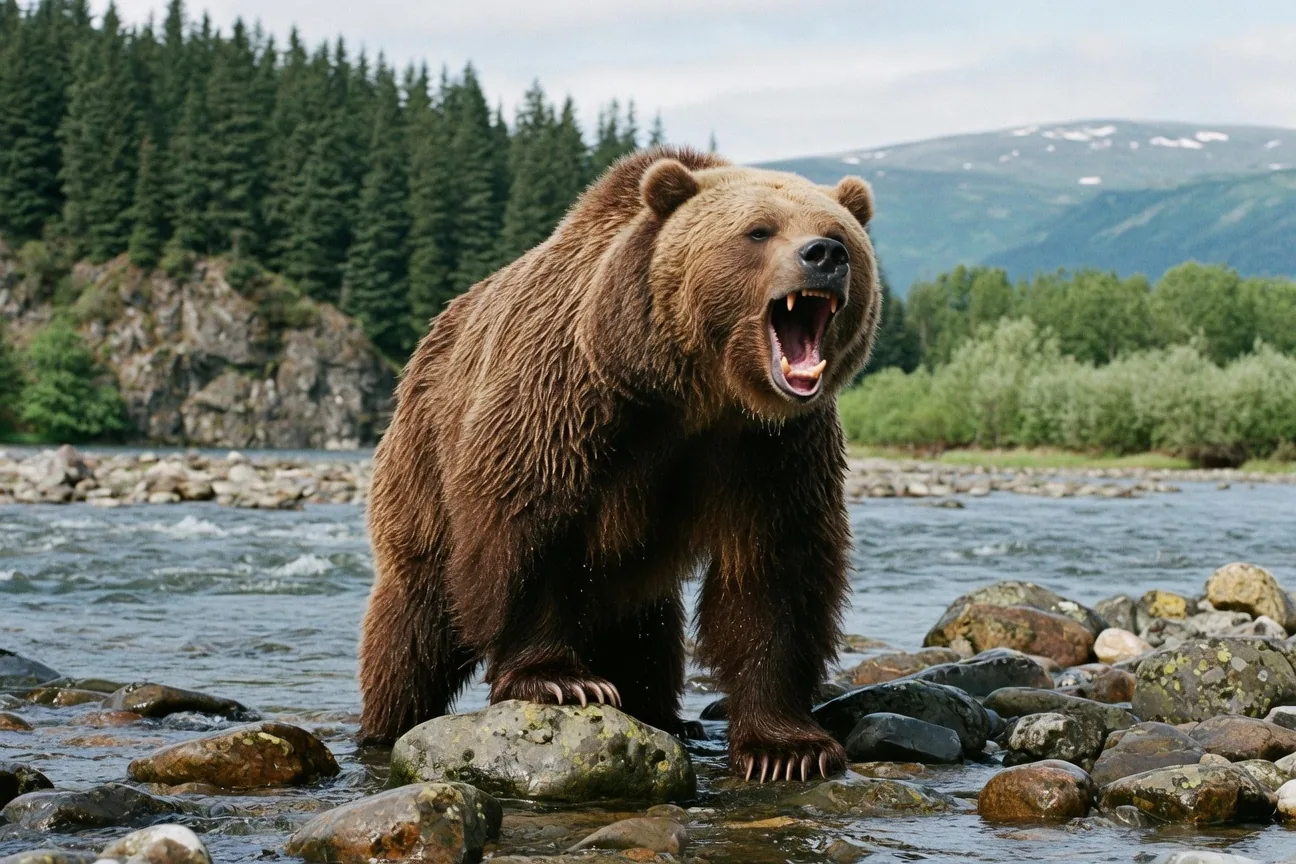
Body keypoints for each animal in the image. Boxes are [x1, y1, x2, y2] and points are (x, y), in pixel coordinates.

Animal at [358, 146, 881, 783]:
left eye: (841, 233)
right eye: (759, 231)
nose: (824, 255)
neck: (696, 393)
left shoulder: (772, 447)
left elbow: (775, 568)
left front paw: (787, 749)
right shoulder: (568, 399)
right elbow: (527, 528)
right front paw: (561, 681)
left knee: (645, 624)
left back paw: (661, 712)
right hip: (425, 451)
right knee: (416, 613)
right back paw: (389, 722)